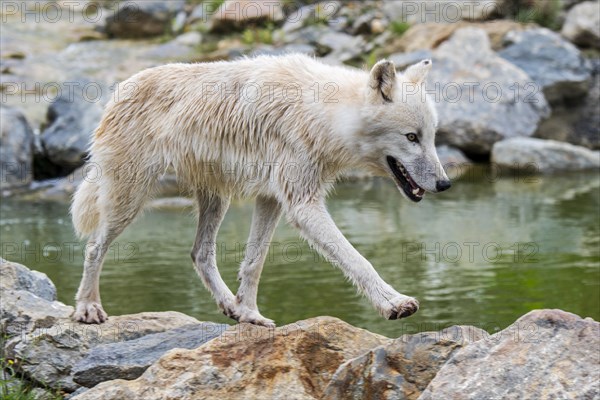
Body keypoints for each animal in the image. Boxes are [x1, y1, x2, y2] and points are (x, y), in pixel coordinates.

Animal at [70, 54, 448, 326]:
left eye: (431, 137)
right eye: (411, 137)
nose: (445, 184)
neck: (322, 115)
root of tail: (117, 93)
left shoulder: (271, 199)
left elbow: (254, 262)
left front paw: (250, 314)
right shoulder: (302, 205)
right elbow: (359, 259)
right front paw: (394, 303)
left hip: (216, 199)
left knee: (200, 253)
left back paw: (230, 307)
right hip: (130, 198)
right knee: (93, 247)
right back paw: (88, 308)